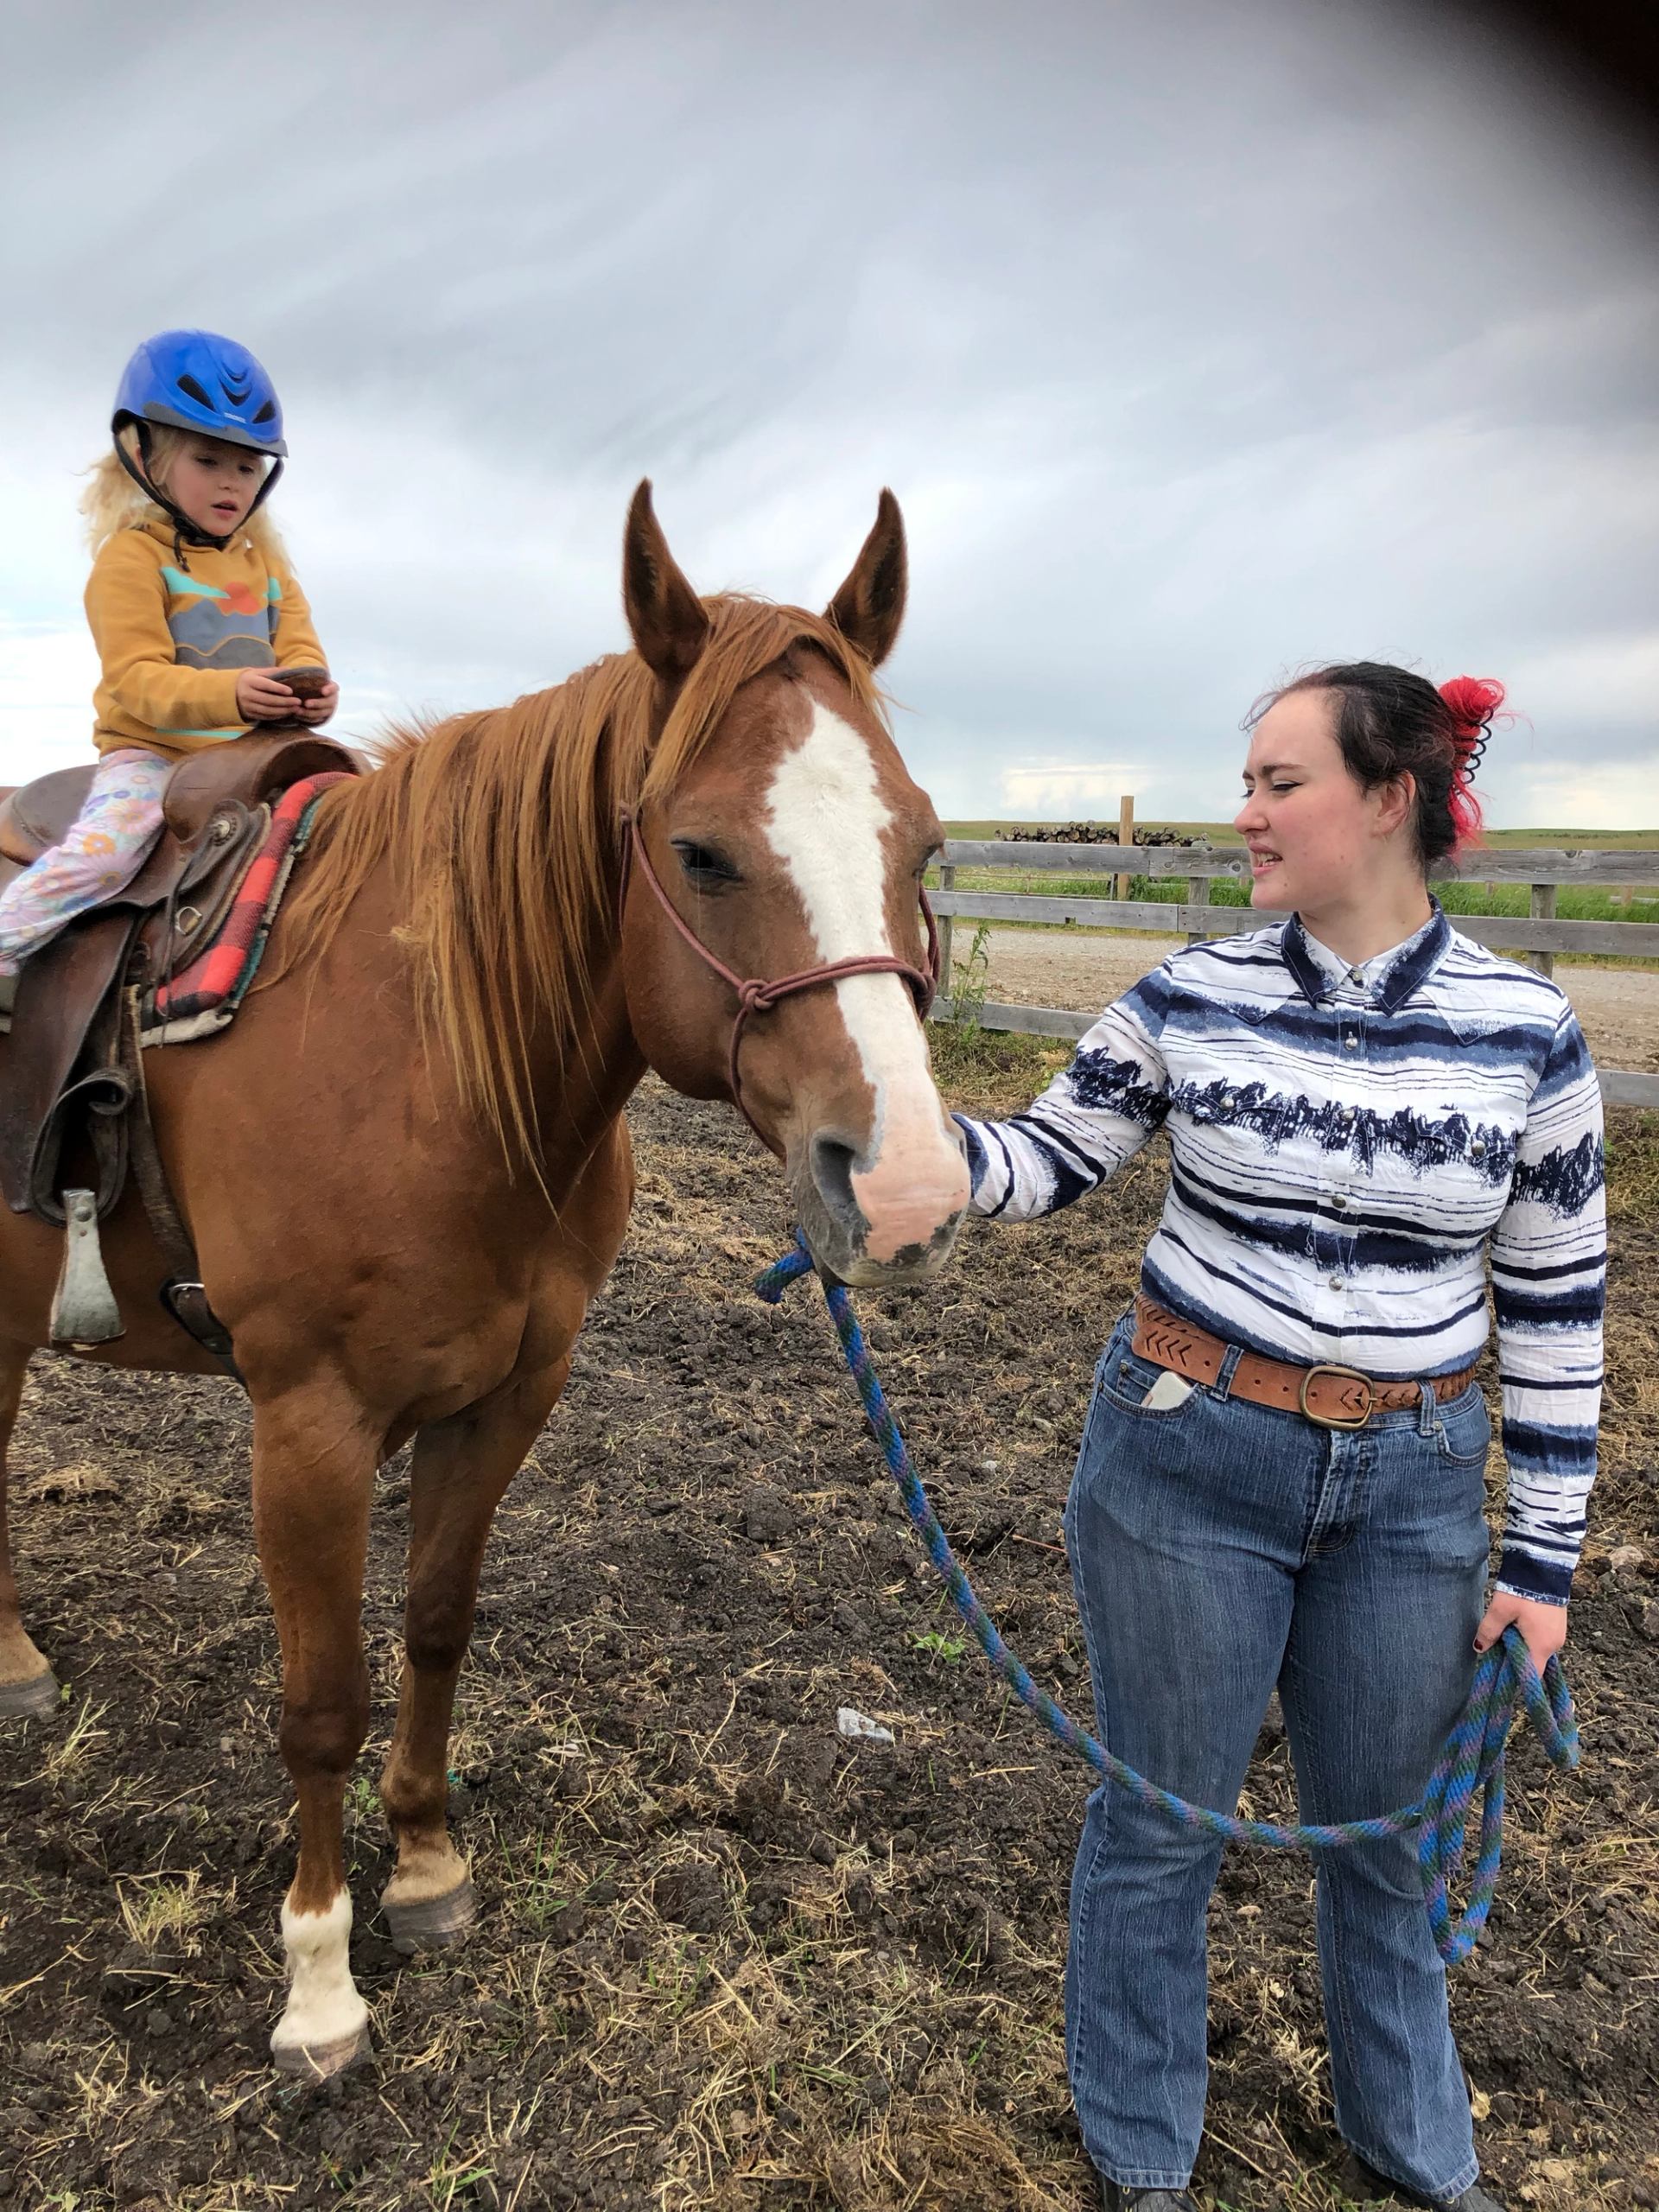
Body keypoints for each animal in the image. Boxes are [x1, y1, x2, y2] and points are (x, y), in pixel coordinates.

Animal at [0, 482, 970, 2075]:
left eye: (926, 844)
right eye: (701, 853)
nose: (905, 1193)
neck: (423, 1058)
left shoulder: (510, 1394)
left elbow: (438, 1629)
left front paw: (427, 1867)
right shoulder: (309, 1429)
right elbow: (321, 1700)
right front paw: (319, 1983)